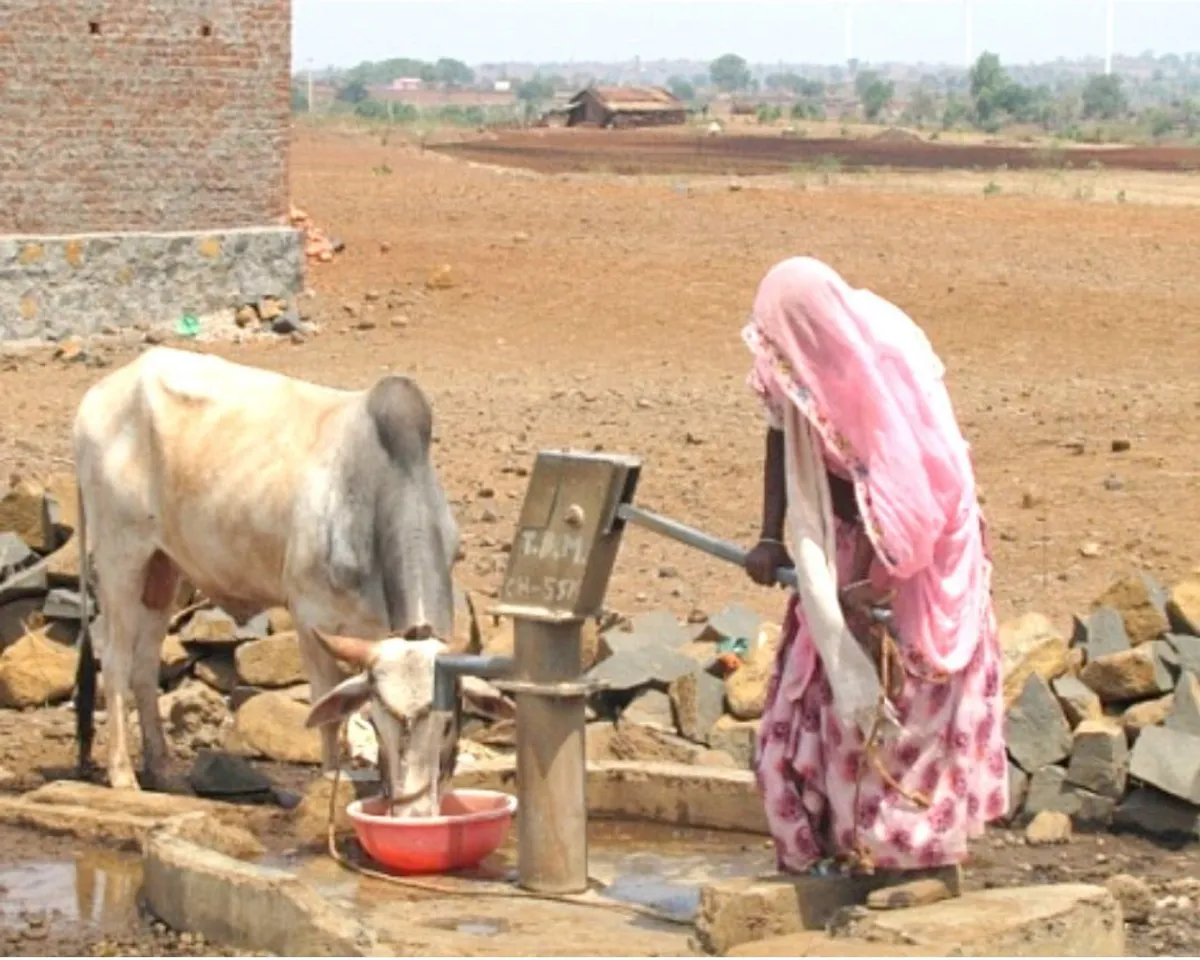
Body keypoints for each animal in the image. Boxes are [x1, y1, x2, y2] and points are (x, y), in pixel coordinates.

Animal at [72, 345, 460, 811]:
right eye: (384, 720)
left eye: (448, 724)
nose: (415, 811)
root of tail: (98, 394)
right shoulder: (310, 616)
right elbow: (328, 711)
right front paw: (329, 783)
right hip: (120, 558)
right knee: (115, 662)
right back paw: (122, 775)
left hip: (164, 571)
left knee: (145, 667)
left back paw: (163, 771)